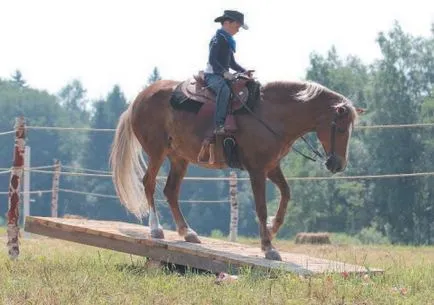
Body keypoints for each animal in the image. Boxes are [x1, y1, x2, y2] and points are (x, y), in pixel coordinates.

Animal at [110, 75, 362, 260]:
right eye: (340, 129)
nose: (337, 164)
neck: (271, 114)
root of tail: (138, 99)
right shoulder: (257, 169)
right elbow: (261, 207)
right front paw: (268, 247)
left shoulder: (272, 166)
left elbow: (286, 194)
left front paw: (272, 228)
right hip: (157, 151)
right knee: (149, 183)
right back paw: (156, 229)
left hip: (179, 158)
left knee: (171, 191)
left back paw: (187, 232)